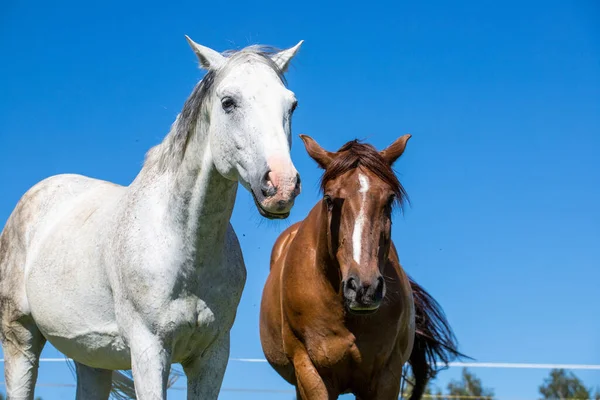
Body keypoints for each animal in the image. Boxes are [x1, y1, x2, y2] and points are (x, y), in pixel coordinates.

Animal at [0, 36, 300, 398]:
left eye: (291, 106)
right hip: (21, 338)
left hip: (91, 358)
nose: (282, 186)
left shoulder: (213, 355)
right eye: (229, 103)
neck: (184, 246)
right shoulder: (149, 349)